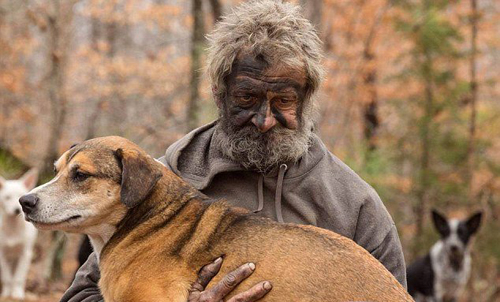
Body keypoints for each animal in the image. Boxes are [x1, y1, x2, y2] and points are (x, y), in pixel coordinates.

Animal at [0, 169, 38, 298]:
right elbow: (7, 277)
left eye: (20, 196)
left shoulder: (25, 254)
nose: (17, 210)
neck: (13, 228)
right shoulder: (2, 254)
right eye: (7, 197)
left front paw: (17, 293)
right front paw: (7, 293)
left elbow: (18, 277)